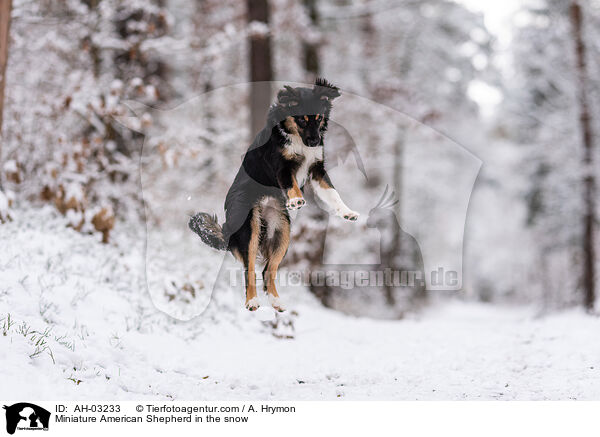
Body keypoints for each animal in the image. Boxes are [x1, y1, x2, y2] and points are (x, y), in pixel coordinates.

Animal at [190, 78, 358, 310]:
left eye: (318, 118)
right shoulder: (282, 167)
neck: (298, 139)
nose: (315, 141)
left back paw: (276, 301)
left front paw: (347, 212)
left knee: (267, 270)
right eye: (302, 119)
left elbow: (333, 193)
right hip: (250, 227)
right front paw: (296, 199)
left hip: (282, 232)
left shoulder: (317, 169)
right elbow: (291, 184)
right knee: (250, 269)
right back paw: (252, 300)